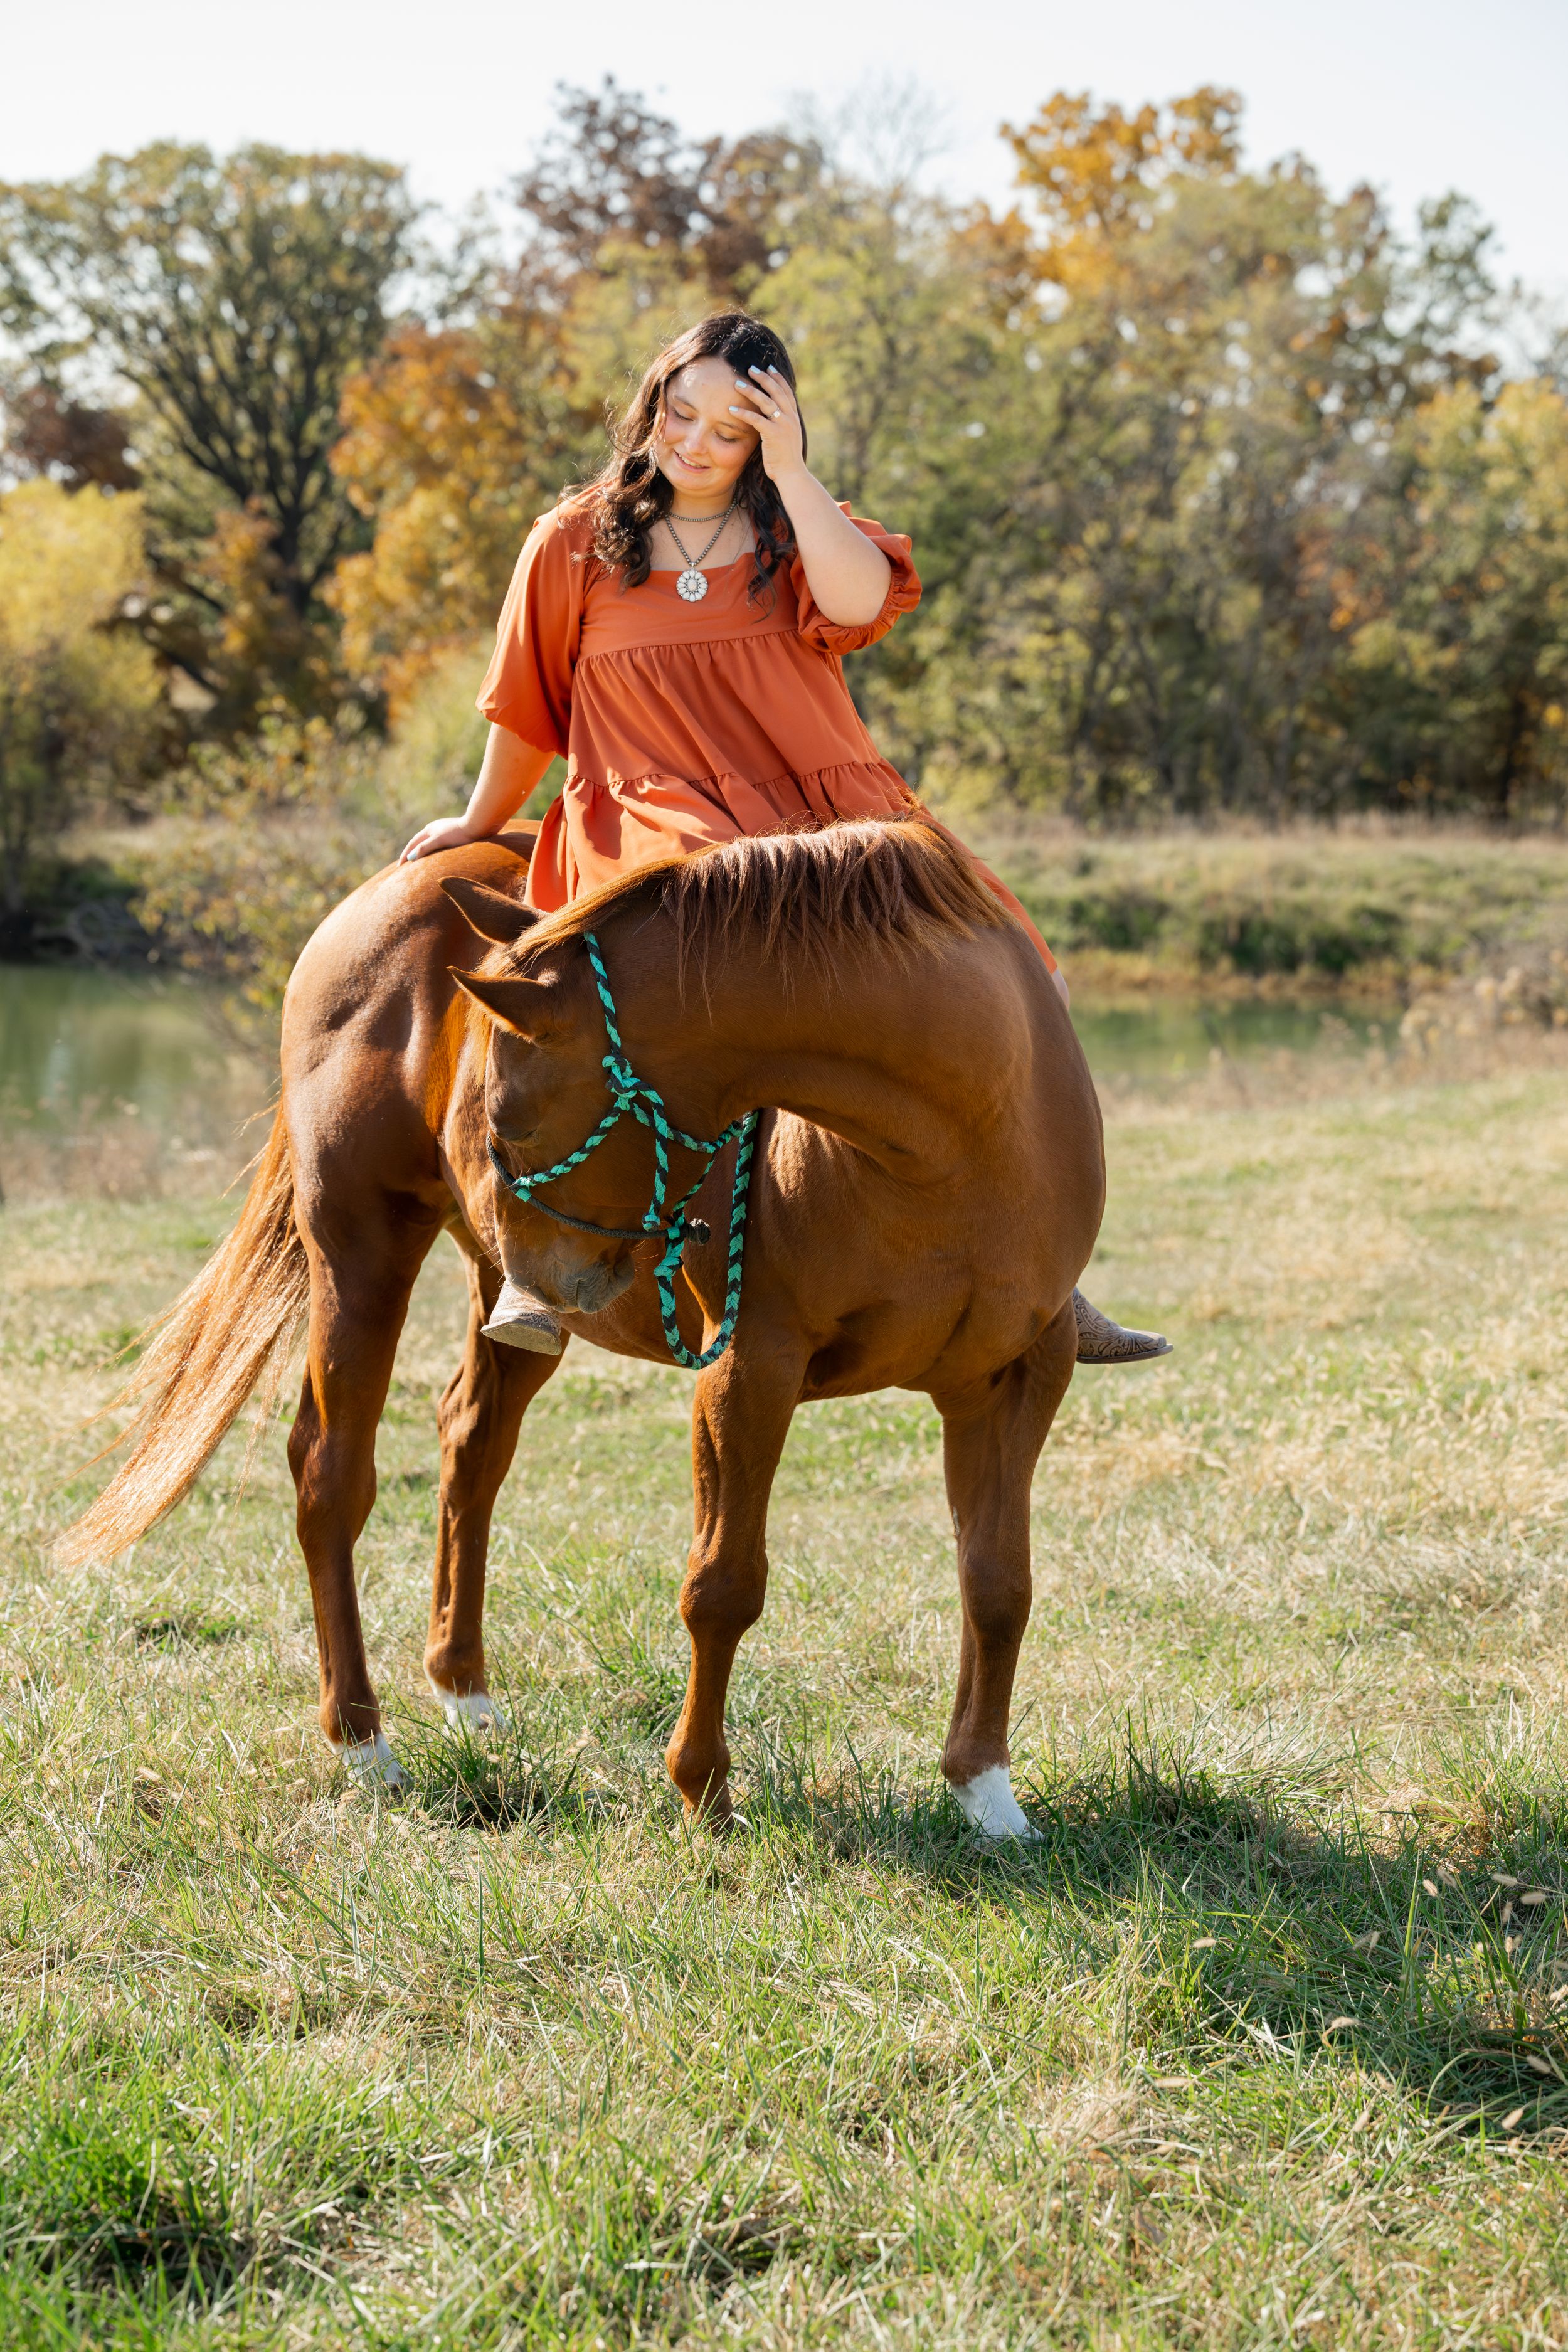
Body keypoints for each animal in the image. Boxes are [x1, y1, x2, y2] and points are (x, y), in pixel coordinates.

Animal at [65, 817, 1106, 1837]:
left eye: (508, 1120)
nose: (552, 1282)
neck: (953, 1147)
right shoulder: (750, 1367)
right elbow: (724, 1584)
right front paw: (702, 1790)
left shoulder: (1020, 1375)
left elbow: (998, 1583)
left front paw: (986, 1792)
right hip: (364, 1248)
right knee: (331, 1471)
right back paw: (363, 1742)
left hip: (492, 1292)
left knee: (470, 1442)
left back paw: (465, 1691)